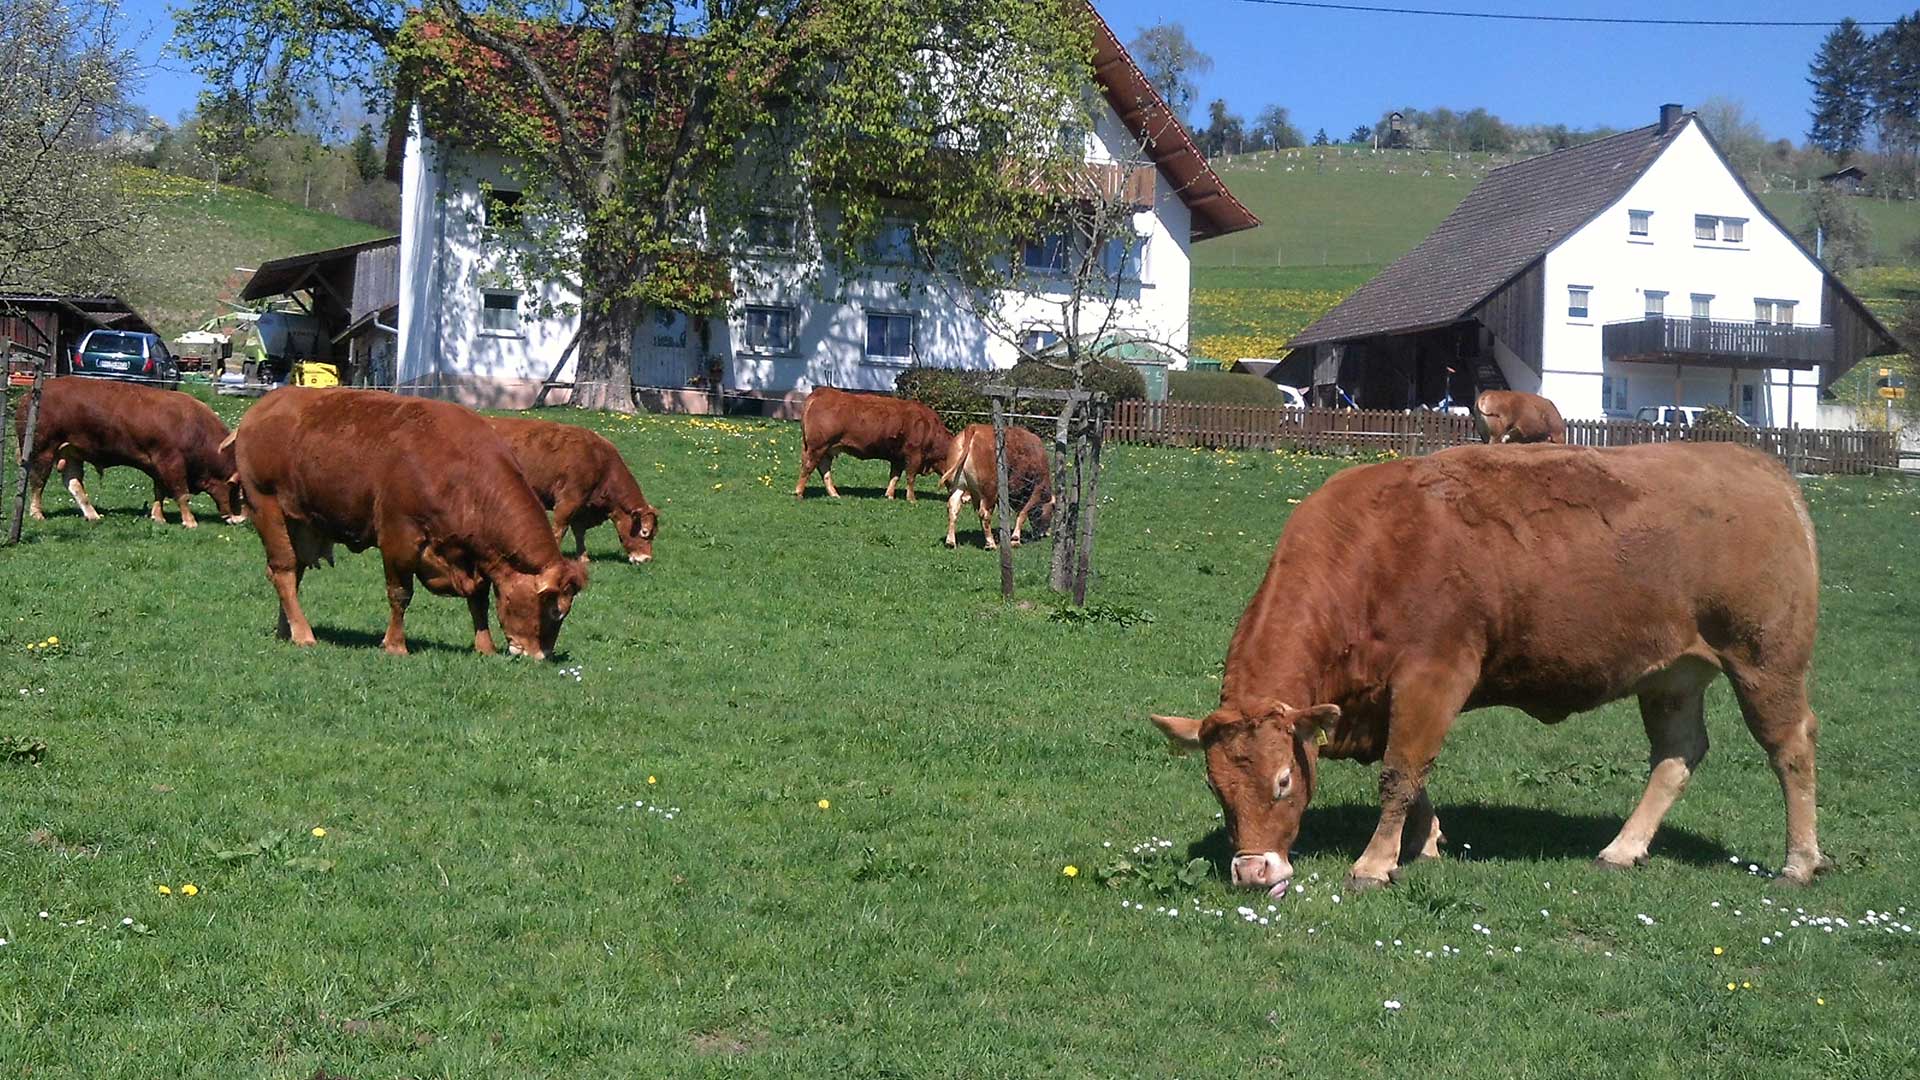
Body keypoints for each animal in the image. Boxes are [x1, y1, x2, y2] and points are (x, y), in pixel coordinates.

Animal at [13, 376, 245, 526]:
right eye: (237, 490)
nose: (241, 518)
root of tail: (27, 395)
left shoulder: (158, 464)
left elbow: (159, 491)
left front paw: (158, 517)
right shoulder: (171, 462)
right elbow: (181, 493)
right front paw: (190, 521)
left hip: (70, 452)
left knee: (74, 483)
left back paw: (93, 515)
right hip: (42, 450)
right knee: (37, 482)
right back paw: (37, 513)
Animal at [230, 386, 583, 657]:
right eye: (553, 608)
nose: (540, 655)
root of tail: (267, 404)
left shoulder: (473, 556)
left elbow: (479, 599)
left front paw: (485, 647)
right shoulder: (399, 538)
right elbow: (400, 594)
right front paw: (395, 645)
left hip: (301, 524)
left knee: (293, 573)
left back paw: (286, 630)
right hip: (268, 508)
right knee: (284, 572)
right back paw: (303, 634)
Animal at [487, 411, 660, 564]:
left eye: (654, 534)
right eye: (644, 532)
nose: (646, 559)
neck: (600, 461)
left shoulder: (582, 507)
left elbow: (579, 531)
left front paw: (583, 558)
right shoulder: (568, 502)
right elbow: (559, 530)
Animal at [787, 386, 952, 499]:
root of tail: (822, 391)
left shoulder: (897, 457)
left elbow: (895, 476)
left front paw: (889, 495)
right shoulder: (914, 455)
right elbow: (910, 477)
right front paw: (911, 499)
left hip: (826, 449)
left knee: (823, 469)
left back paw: (834, 494)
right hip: (817, 446)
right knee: (808, 466)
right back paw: (799, 492)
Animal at [1144, 441, 1835, 895]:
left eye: (1284, 781)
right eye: (1216, 787)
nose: (1252, 871)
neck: (1373, 548)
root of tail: (1760, 467)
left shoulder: (1434, 675)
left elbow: (1400, 771)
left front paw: (1374, 862)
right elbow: (1414, 773)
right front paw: (1425, 842)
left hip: (1765, 658)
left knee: (1791, 747)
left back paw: (1800, 860)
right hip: (1672, 674)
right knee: (1678, 753)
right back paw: (1622, 848)